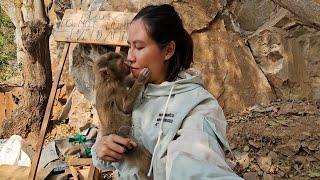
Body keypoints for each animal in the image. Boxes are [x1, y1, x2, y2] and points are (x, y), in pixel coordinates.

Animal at [93, 51, 152, 179]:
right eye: (121, 63)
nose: (128, 63)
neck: (107, 79)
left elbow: (126, 81)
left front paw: (134, 79)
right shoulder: (114, 87)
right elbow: (125, 107)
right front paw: (141, 79)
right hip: (122, 141)